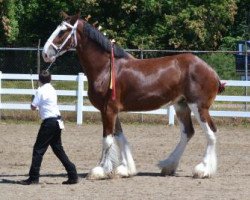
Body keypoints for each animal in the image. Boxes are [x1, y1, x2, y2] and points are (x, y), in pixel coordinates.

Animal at [42, 12, 225, 180]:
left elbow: (107, 139)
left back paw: (203, 170)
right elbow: (119, 137)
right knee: (188, 132)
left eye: (63, 31)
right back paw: (168, 165)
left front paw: (100, 170)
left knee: (210, 132)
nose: (45, 53)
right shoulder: (111, 110)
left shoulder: (108, 110)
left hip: (198, 106)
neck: (106, 68)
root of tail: (212, 71)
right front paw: (125, 169)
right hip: (181, 105)